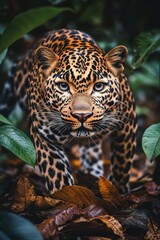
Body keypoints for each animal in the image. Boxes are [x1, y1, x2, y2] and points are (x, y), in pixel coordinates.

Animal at [0, 29, 138, 195]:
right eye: (63, 86)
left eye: (99, 86)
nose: (82, 116)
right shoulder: (42, 134)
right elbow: (55, 171)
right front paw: (65, 195)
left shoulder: (128, 119)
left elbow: (122, 160)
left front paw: (118, 189)